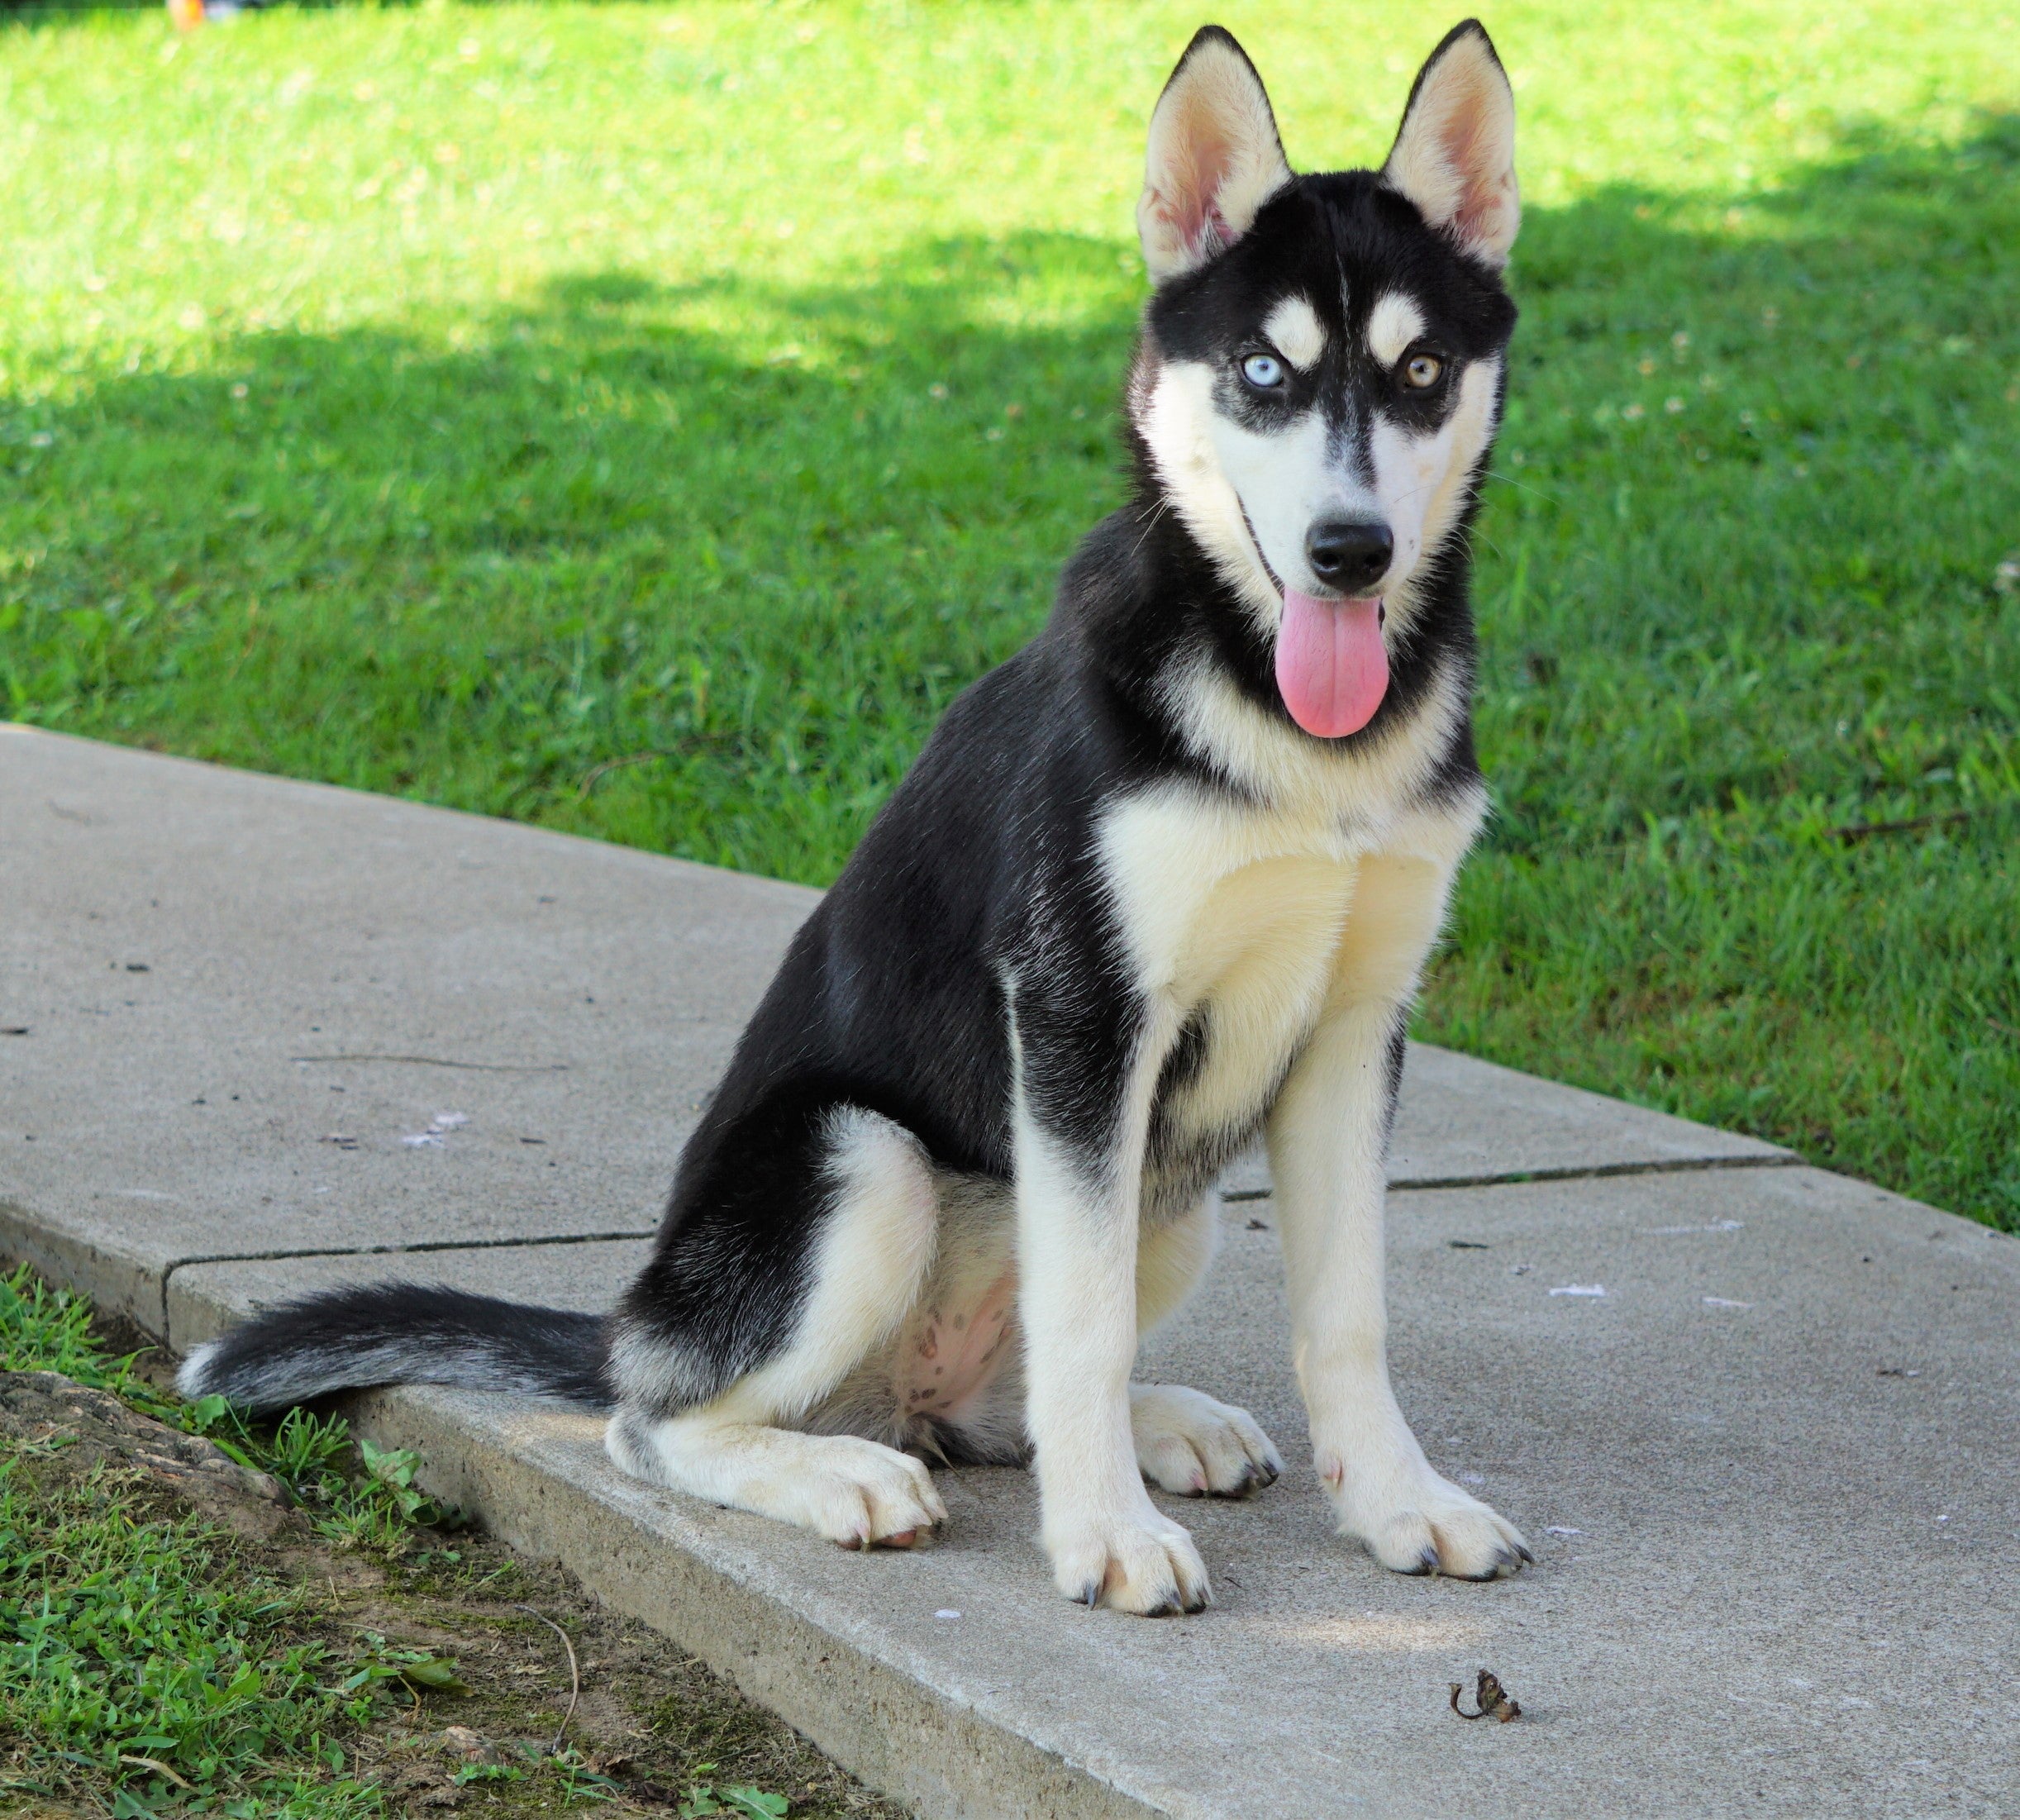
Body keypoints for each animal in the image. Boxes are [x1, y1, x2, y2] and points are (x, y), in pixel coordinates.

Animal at [185, 21, 1527, 1616]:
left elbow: (1344, 1320)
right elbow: (1082, 1324)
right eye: (1264, 368)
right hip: (859, 1161)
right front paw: (1107, 1537)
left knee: (1002, 1398)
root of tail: (643, 1311)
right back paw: (845, 1474)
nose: (1348, 551)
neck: (1294, 733)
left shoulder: (1350, 1029)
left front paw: (1396, 1502)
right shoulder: (1082, 1017)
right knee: (663, 1423)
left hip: (1171, 1194)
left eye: (1421, 369)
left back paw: (1153, 1424)